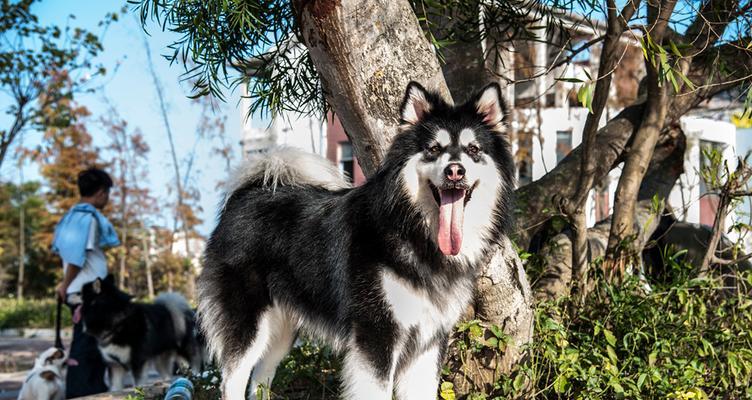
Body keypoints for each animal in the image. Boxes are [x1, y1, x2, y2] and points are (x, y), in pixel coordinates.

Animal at [200, 82, 516, 400]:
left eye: (473, 150)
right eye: (433, 149)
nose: (455, 170)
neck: (414, 231)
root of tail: (247, 193)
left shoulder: (426, 342)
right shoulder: (376, 334)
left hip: (282, 331)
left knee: (260, 380)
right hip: (248, 324)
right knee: (232, 381)